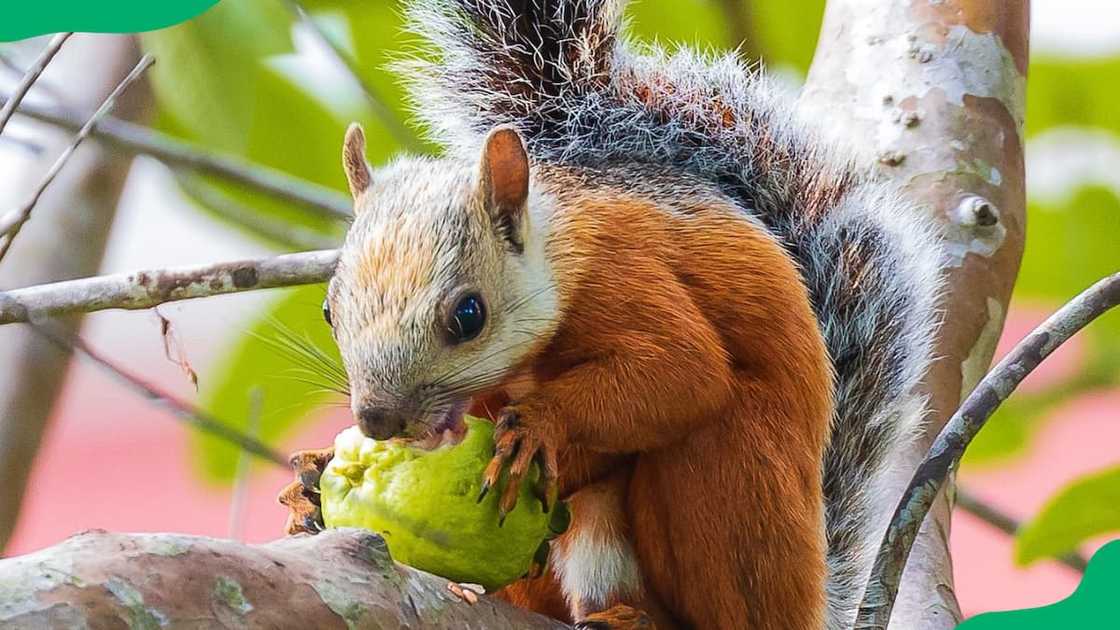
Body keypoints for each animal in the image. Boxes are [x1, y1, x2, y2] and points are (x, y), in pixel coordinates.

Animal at [275, 0, 940, 623]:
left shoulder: (625, 278)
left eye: (468, 315)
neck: (559, 258)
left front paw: (541, 421)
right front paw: (312, 484)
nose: (377, 420)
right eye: (330, 310)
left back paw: (637, 619)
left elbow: (684, 371)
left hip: (731, 484)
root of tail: (810, 598)